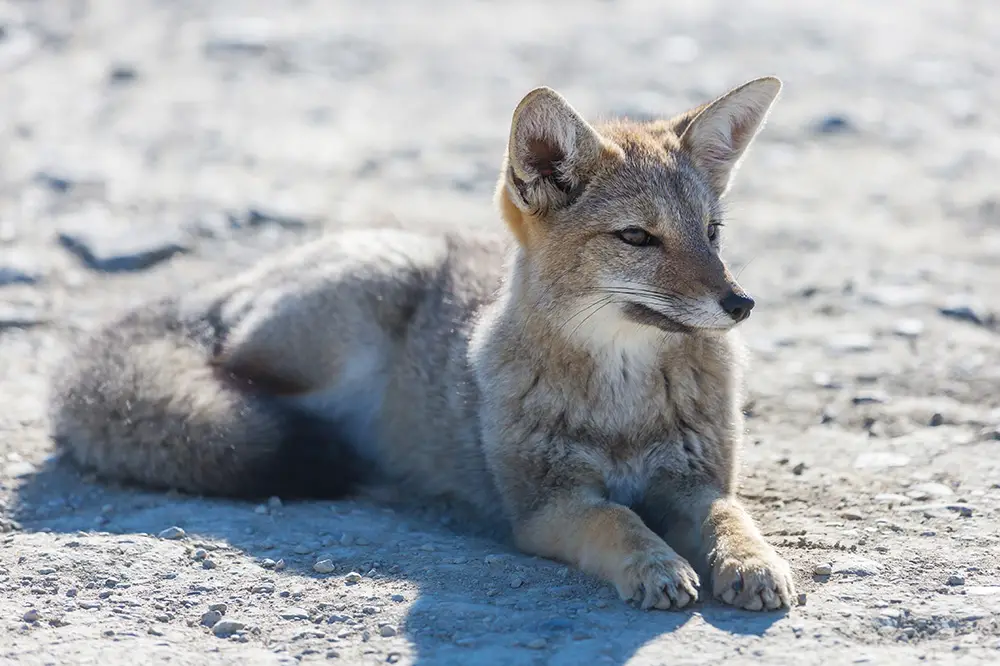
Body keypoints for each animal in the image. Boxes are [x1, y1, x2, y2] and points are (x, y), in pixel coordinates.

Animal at [48, 75, 796, 608]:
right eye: (638, 238)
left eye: (711, 233)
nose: (741, 304)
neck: (624, 405)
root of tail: (226, 285)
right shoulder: (547, 506)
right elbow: (618, 520)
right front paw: (655, 563)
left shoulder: (696, 482)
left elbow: (731, 517)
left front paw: (754, 562)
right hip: (352, 318)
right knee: (226, 383)